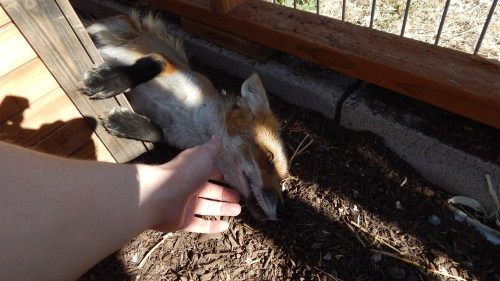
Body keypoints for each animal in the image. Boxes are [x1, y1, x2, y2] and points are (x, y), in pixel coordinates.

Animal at [82, 12, 290, 220]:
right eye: (269, 157)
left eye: (281, 179)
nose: (282, 211)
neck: (191, 117)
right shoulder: (167, 65)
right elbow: (155, 64)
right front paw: (108, 81)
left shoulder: (169, 130)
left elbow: (157, 133)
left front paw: (125, 123)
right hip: (110, 27)